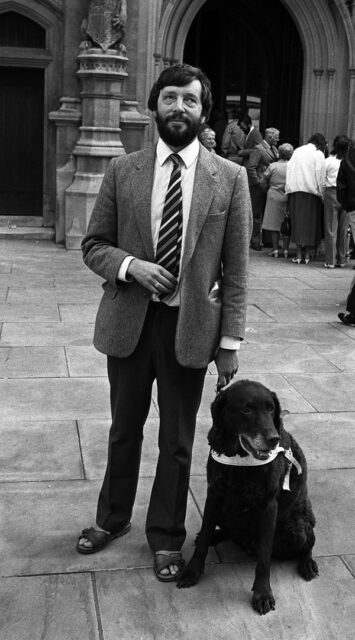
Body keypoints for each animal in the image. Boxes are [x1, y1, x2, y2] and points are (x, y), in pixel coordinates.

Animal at [178, 380, 320, 616]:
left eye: (271, 408)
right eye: (246, 409)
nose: (273, 439)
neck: (240, 458)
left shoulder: (268, 506)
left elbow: (264, 559)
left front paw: (262, 594)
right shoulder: (214, 495)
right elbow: (204, 537)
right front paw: (193, 571)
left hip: (297, 527)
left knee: (308, 542)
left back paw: (307, 564)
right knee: (225, 530)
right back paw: (218, 535)